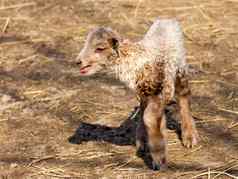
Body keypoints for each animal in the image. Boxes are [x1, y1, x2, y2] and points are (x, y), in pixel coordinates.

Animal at [75, 18, 199, 171]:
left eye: (100, 48)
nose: (78, 61)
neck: (134, 60)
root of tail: (166, 19)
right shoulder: (147, 93)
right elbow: (147, 115)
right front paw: (152, 144)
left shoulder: (162, 90)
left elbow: (149, 117)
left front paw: (159, 159)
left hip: (179, 68)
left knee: (184, 96)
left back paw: (189, 136)